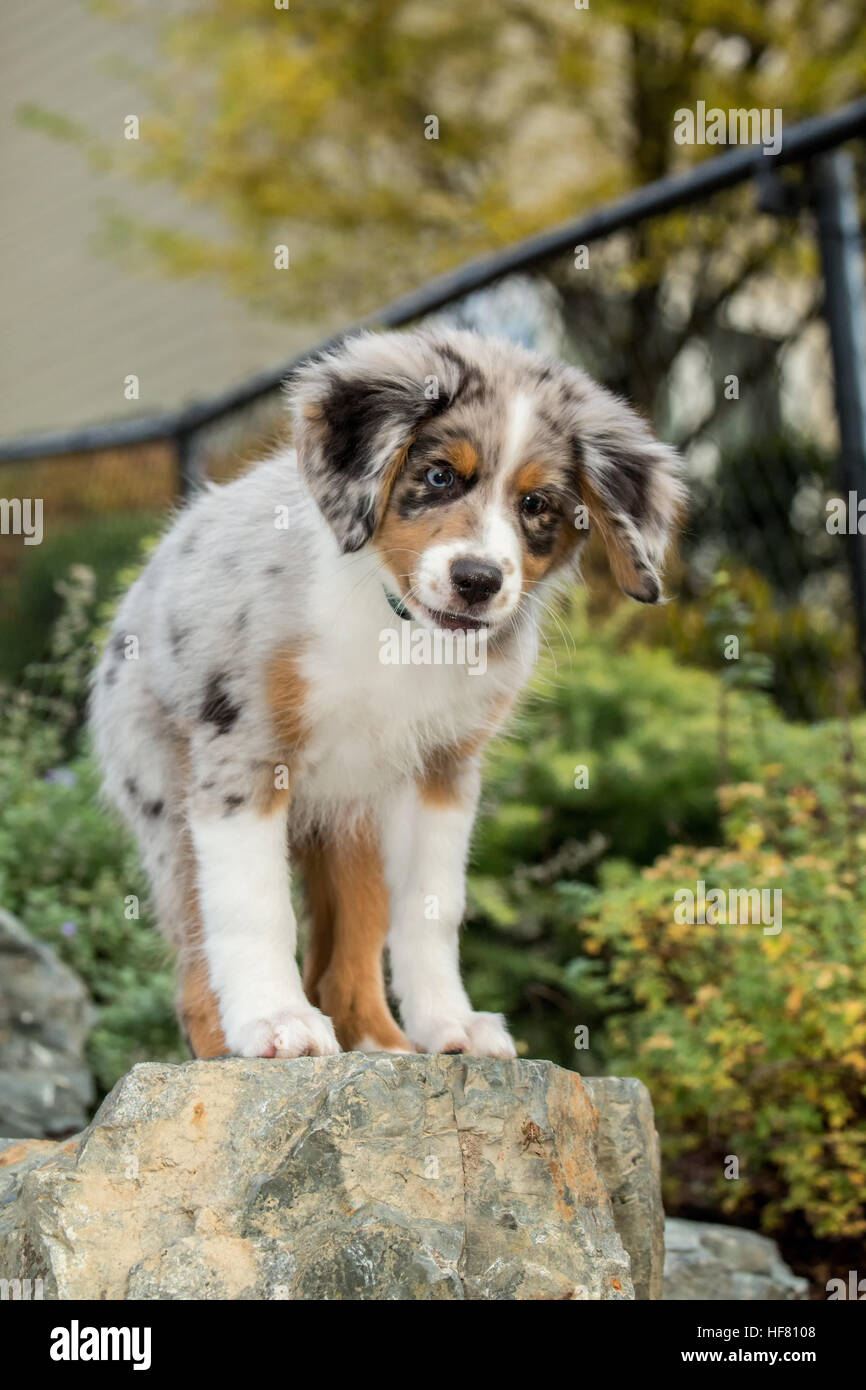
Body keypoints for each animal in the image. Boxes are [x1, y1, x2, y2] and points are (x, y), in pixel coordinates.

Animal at [89, 330, 683, 1056]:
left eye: (536, 504)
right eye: (439, 476)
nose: (478, 580)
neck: (398, 628)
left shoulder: (442, 773)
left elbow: (432, 910)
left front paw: (450, 1023)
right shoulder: (242, 753)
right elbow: (255, 907)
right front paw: (276, 1020)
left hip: (356, 821)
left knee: (344, 958)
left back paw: (381, 1044)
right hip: (166, 806)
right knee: (197, 964)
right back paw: (227, 1049)